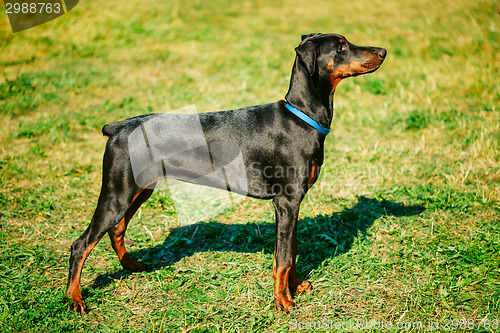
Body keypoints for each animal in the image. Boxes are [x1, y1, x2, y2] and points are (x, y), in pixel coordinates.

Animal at [66, 32, 386, 312]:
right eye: (341, 46)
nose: (383, 51)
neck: (301, 117)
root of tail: (118, 127)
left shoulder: (293, 204)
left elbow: (292, 250)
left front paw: (296, 287)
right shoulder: (286, 202)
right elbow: (283, 257)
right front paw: (283, 301)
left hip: (140, 189)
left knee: (117, 229)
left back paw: (131, 266)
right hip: (118, 192)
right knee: (81, 244)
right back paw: (75, 299)